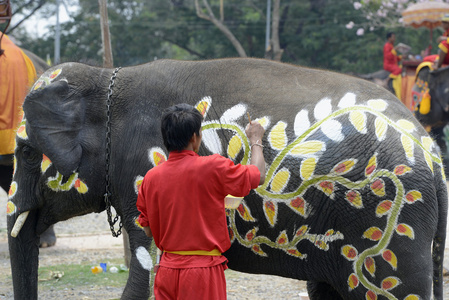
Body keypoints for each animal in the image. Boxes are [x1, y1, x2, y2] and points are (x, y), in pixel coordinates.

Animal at [8, 57, 446, 298]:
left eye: (26, 153)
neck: (105, 78)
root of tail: (433, 154)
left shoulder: (140, 168)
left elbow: (145, 271)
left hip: (392, 222)